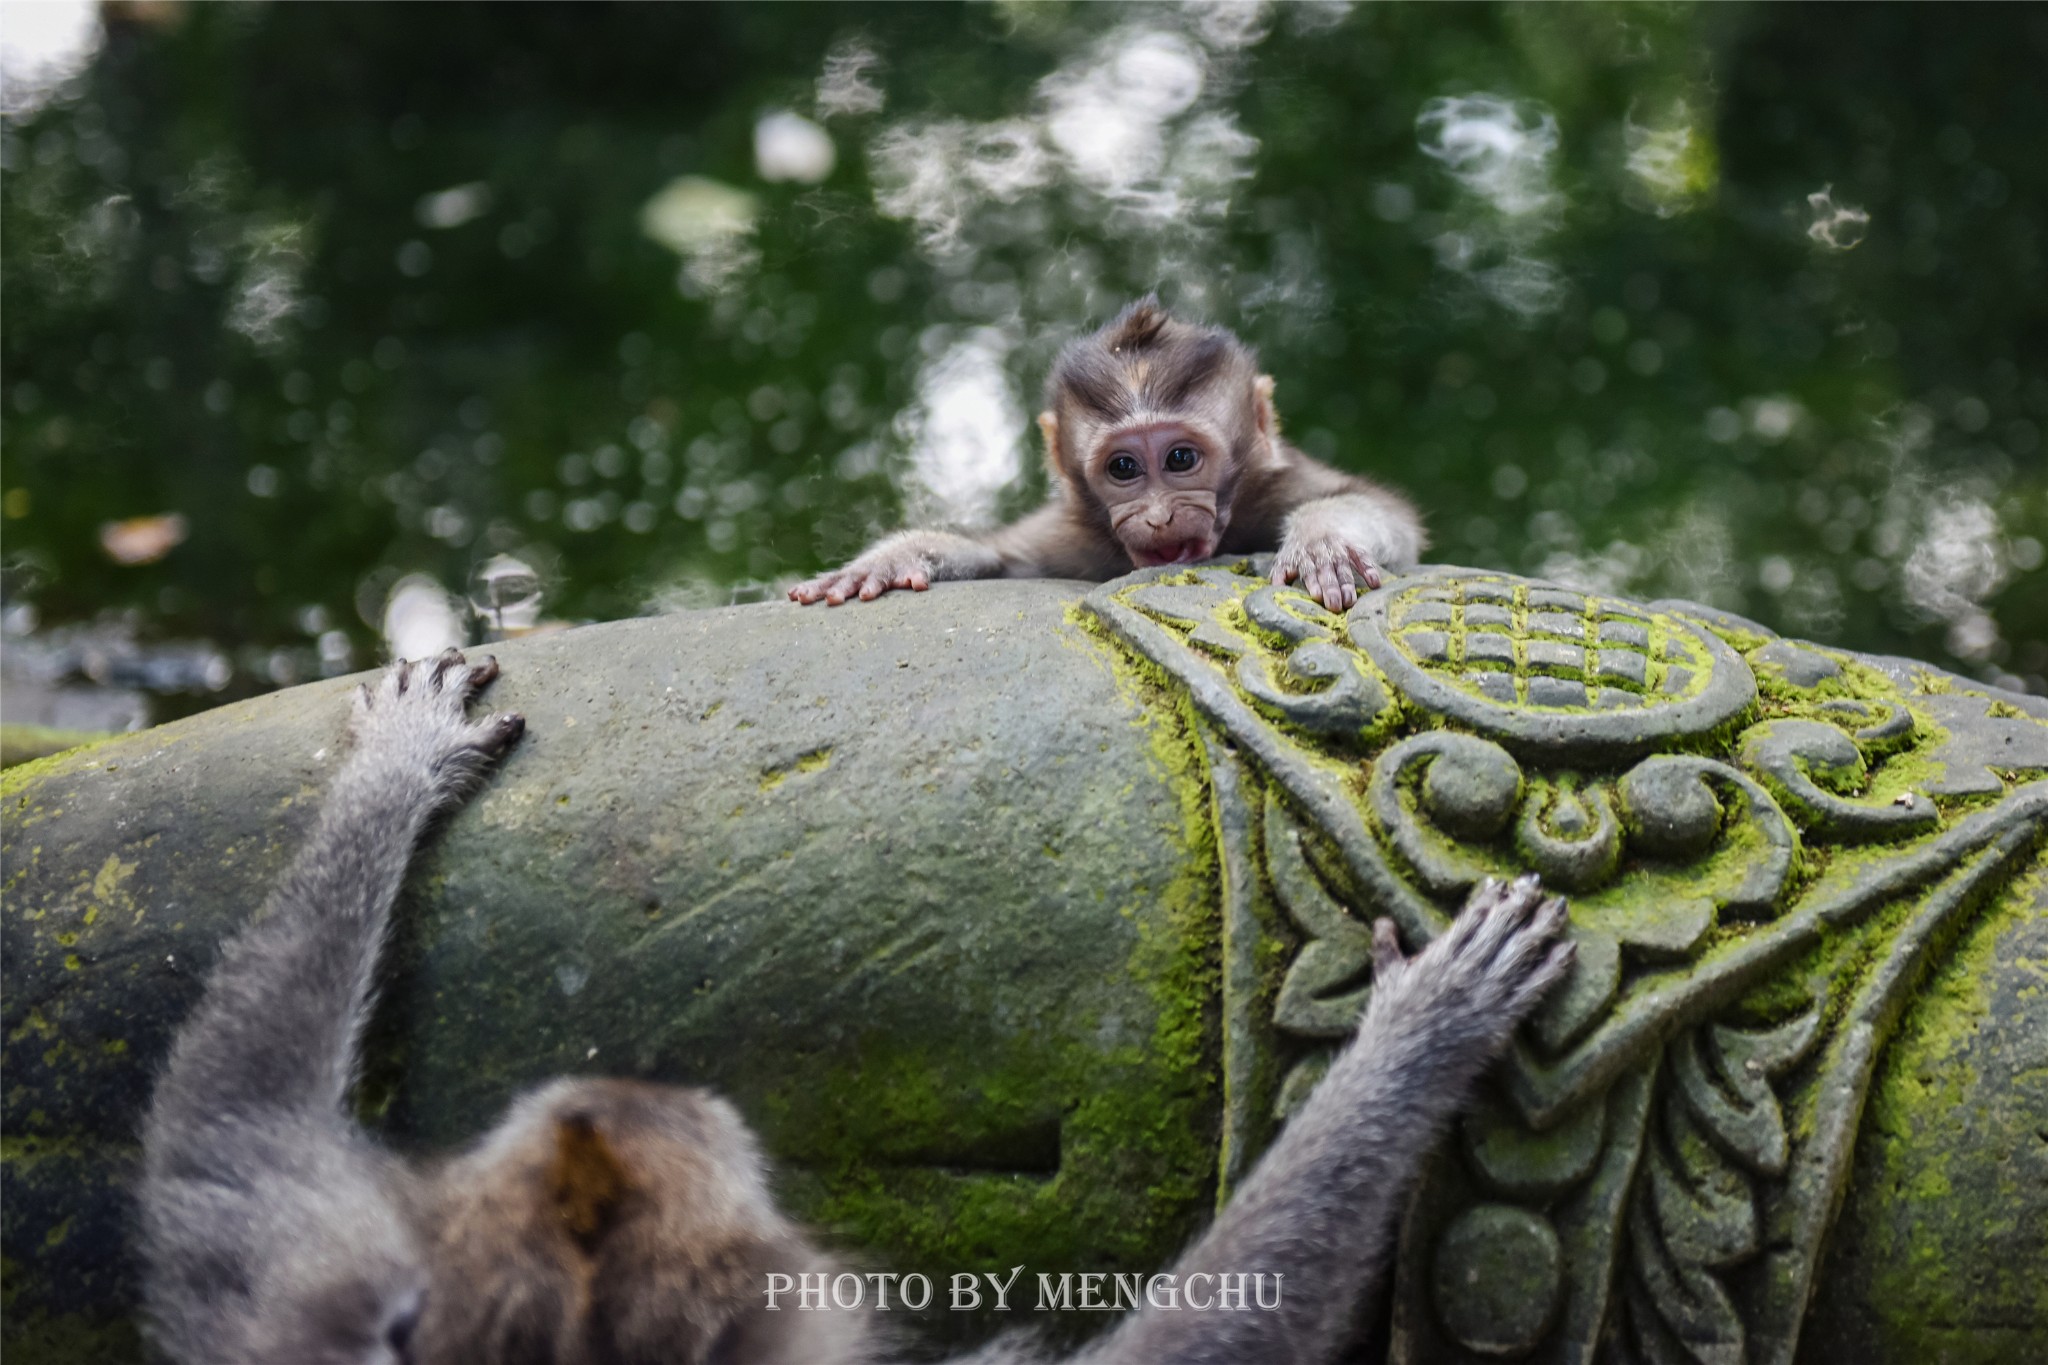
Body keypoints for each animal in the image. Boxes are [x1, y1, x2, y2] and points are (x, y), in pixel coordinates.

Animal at [790, 304, 1433, 618]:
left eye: (1180, 458)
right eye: (1123, 469)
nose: (1158, 517)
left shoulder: (1277, 484)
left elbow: (1386, 515)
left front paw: (1322, 541)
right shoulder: (1077, 533)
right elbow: (1003, 559)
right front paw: (890, 558)